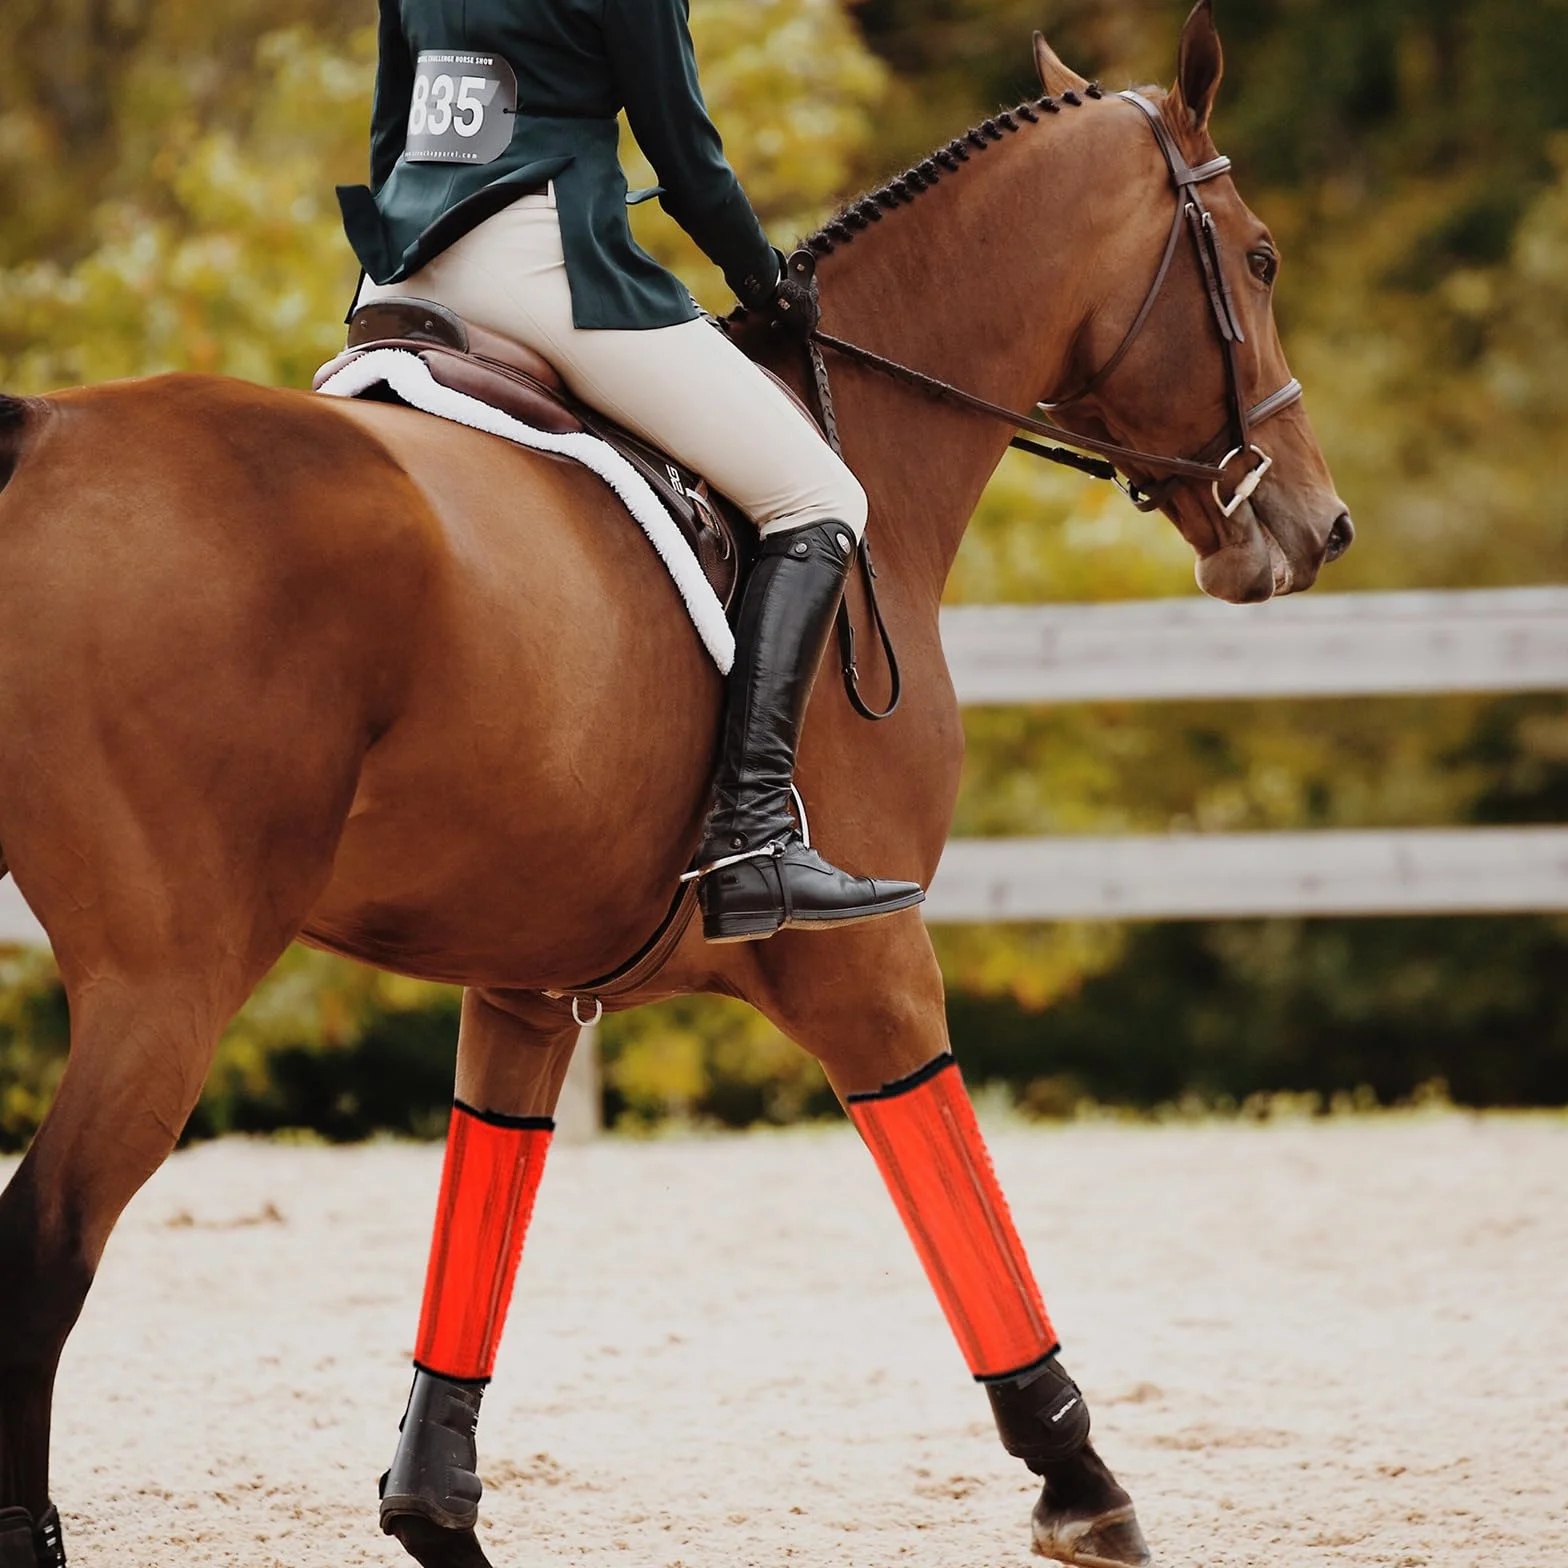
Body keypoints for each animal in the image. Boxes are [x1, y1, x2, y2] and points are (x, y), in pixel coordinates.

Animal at [0, 6, 1351, 1565]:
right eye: (1258, 257)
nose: (1318, 523)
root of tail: (46, 435)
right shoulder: (868, 956)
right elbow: (951, 1180)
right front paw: (1081, 1480)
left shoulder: (527, 983)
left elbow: (483, 1213)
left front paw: (433, 1511)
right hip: (169, 981)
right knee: (43, 1246)